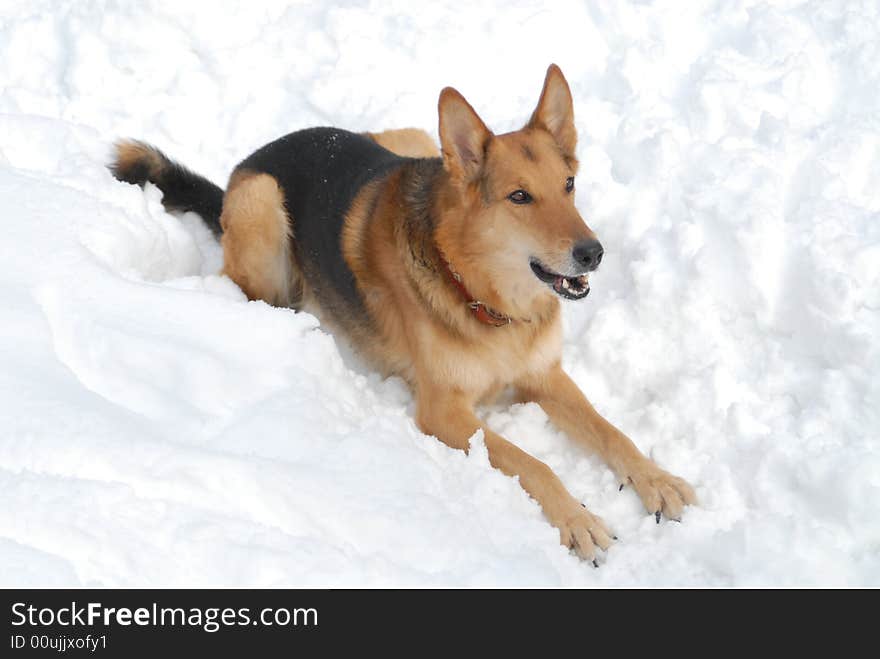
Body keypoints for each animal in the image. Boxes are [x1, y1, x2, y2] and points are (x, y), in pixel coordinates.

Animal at [110, 65, 696, 564]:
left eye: (569, 186)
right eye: (520, 197)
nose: (593, 253)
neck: (485, 299)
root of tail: (252, 159)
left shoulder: (544, 376)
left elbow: (612, 432)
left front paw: (656, 479)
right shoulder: (444, 413)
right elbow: (535, 462)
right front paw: (577, 518)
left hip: (414, 139)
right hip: (263, 209)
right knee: (245, 286)